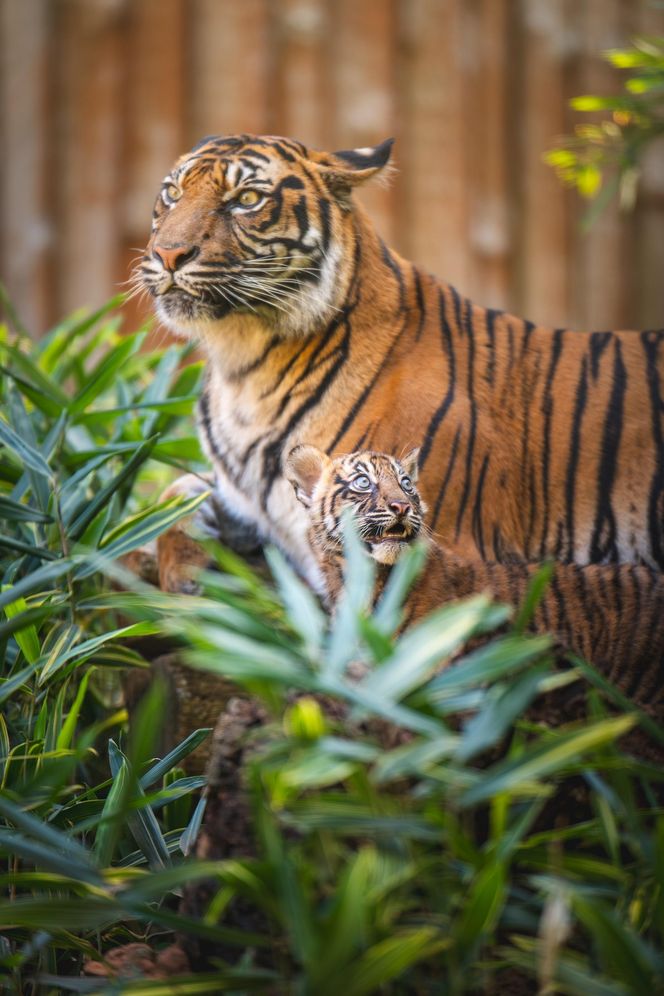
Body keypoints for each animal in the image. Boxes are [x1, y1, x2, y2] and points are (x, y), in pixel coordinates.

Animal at [136, 135, 664, 596]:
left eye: (246, 199)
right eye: (172, 193)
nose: (167, 254)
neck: (244, 365)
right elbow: (175, 491)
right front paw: (185, 570)